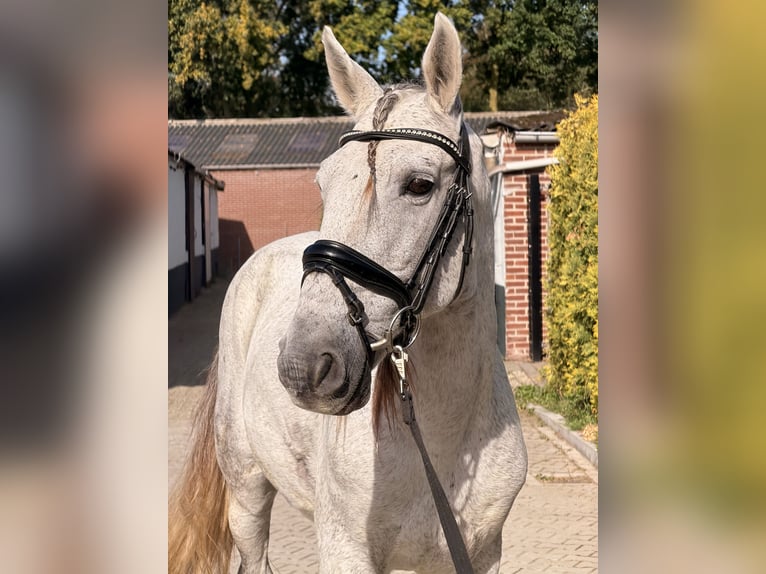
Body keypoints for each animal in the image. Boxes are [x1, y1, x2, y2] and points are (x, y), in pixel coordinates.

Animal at [169, 13, 527, 574]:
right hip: (247, 493)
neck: (444, 441)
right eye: (322, 184)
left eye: (420, 184)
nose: (304, 366)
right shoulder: (344, 548)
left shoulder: (481, 554)